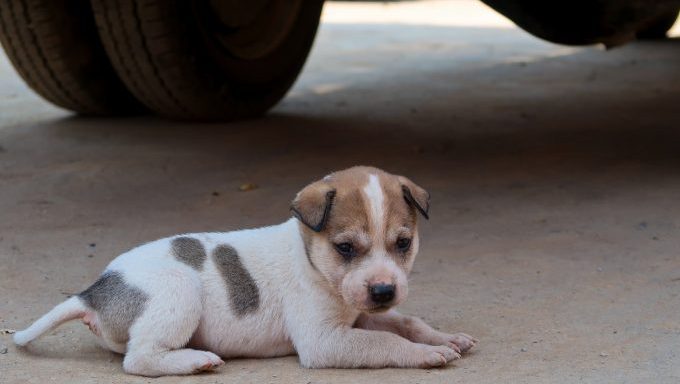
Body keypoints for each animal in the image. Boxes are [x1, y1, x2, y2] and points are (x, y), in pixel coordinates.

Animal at [13, 166, 476, 376]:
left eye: (403, 243)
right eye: (345, 248)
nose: (383, 291)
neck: (311, 257)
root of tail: (93, 291)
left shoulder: (361, 315)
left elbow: (407, 322)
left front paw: (442, 337)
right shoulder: (324, 341)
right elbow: (383, 343)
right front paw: (425, 353)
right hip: (179, 290)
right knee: (139, 359)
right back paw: (195, 360)